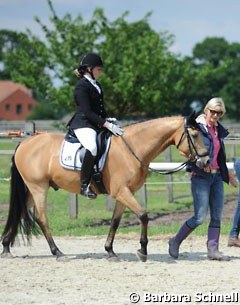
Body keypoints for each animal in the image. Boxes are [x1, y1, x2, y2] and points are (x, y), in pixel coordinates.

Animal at [0, 113, 209, 260]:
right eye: (194, 134)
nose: (206, 160)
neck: (131, 148)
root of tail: (24, 143)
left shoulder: (124, 193)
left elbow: (116, 221)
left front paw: (110, 251)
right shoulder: (121, 191)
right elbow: (143, 215)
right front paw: (142, 250)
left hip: (30, 190)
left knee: (20, 212)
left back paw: (6, 247)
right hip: (38, 188)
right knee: (42, 218)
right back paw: (57, 252)